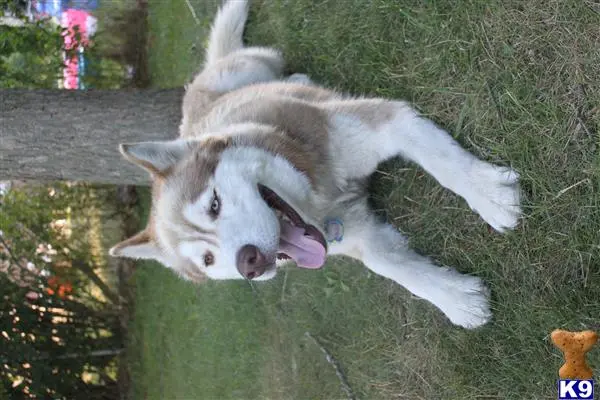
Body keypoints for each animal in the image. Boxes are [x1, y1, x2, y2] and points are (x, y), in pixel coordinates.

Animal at [110, 0, 524, 328]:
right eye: (208, 259)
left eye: (214, 204)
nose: (249, 263)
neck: (318, 195)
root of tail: (195, 96)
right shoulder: (351, 235)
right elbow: (393, 268)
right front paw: (456, 298)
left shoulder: (386, 123)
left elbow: (445, 163)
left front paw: (490, 196)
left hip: (256, 65)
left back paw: (297, 77)